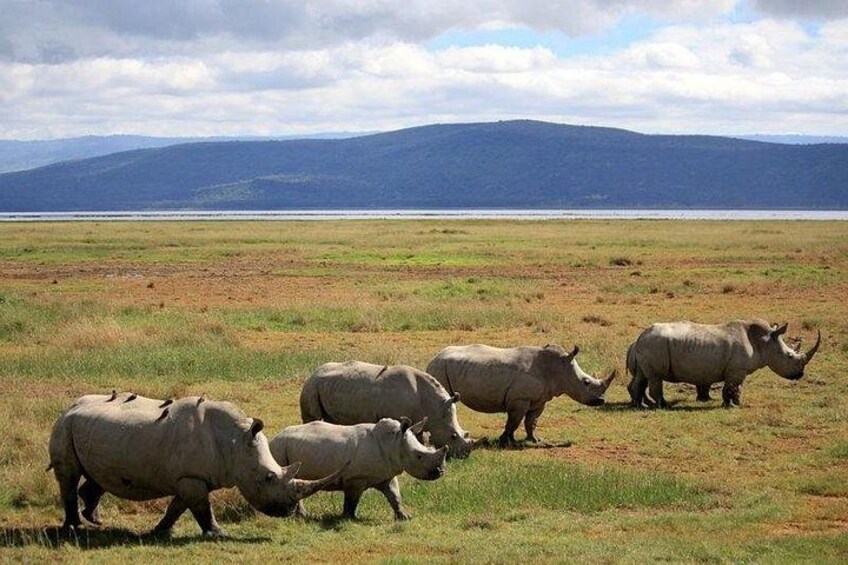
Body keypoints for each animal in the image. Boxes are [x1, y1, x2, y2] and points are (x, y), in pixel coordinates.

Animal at [48, 392, 341, 537]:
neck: (235, 442)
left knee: (97, 476)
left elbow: (178, 507)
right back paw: (74, 528)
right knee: (69, 477)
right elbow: (201, 508)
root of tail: (69, 406)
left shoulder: (190, 478)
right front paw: (218, 534)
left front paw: (159, 532)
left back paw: (94, 520)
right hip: (65, 425)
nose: (289, 511)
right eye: (268, 477)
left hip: (91, 429)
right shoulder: (191, 478)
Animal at [269, 418, 447, 520]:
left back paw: (302, 516)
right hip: (279, 449)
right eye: (419, 456)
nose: (441, 472)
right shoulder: (355, 478)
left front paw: (405, 516)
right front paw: (349, 518)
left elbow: (395, 496)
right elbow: (352, 500)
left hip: (287, 447)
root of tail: (274, 437)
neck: (394, 443)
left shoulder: (387, 473)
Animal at [300, 361, 473, 458]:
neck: (434, 407)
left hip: (328, 386)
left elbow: (420, 438)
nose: (464, 456)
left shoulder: (421, 418)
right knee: (312, 418)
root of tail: (314, 372)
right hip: (311, 387)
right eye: (453, 436)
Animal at [426, 344, 616, 447]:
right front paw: (507, 441)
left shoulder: (539, 400)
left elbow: (531, 421)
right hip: (440, 368)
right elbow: (514, 421)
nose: (601, 400)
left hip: (445, 367)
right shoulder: (520, 399)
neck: (557, 368)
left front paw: (534, 440)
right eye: (586, 382)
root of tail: (434, 357)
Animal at [626, 320, 821, 408]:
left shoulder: (737, 370)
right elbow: (732, 387)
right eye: (789, 356)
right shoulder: (737, 369)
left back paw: (640, 405)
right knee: (655, 377)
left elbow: (734, 388)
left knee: (642, 377)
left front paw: (733, 404)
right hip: (654, 344)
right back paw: (662, 406)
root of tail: (640, 337)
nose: (799, 375)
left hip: (649, 345)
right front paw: (734, 406)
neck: (764, 343)